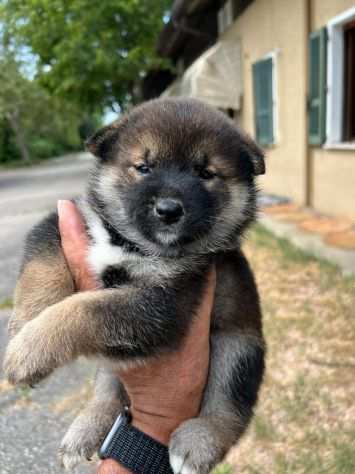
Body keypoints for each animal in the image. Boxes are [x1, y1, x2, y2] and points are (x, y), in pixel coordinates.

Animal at [2, 98, 266, 472]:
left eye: (205, 173)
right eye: (143, 167)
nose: (169, 209)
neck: (130, 244)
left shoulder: (163, 304)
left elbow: (84, 310)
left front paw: (30, 349)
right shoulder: (62, 222)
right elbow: (42, 267)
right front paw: (25, 322)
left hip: (238, 347)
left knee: (229, 408)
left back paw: (199, 442)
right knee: (107, 390)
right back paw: (86, 428)